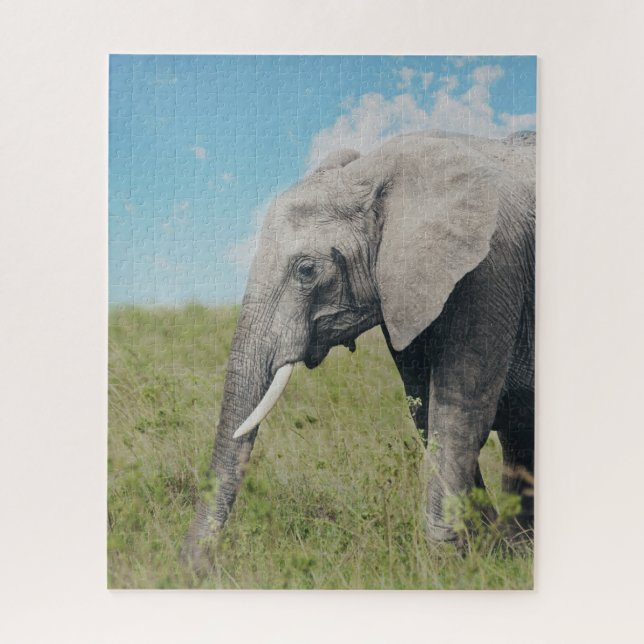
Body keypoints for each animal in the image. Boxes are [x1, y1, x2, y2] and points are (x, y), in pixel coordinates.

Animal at [183, 129, 535, 566]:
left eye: (307, 270)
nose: (193, 569)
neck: (375, 172)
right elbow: (423, 406)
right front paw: (485, 550)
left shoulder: (491, 266)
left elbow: (459, 408)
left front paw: (449, 563)